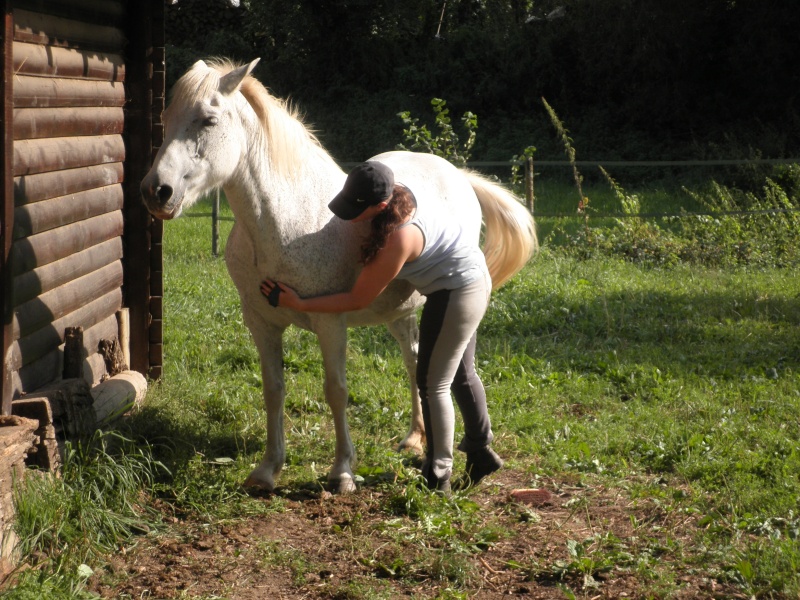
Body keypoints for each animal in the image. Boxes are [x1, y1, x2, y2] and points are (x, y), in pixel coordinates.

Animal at [142, 58, 536, 494]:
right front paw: (267, 469)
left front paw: (343, 471)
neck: (287, 220)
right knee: (415, 362)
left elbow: (336, 390)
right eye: (166, 117)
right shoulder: (261, 322)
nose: (156, 191)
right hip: (399, 312)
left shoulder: (331, 323)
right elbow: (273, 390)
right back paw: (416, 439)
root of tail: (457, 175)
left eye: (208, 120)